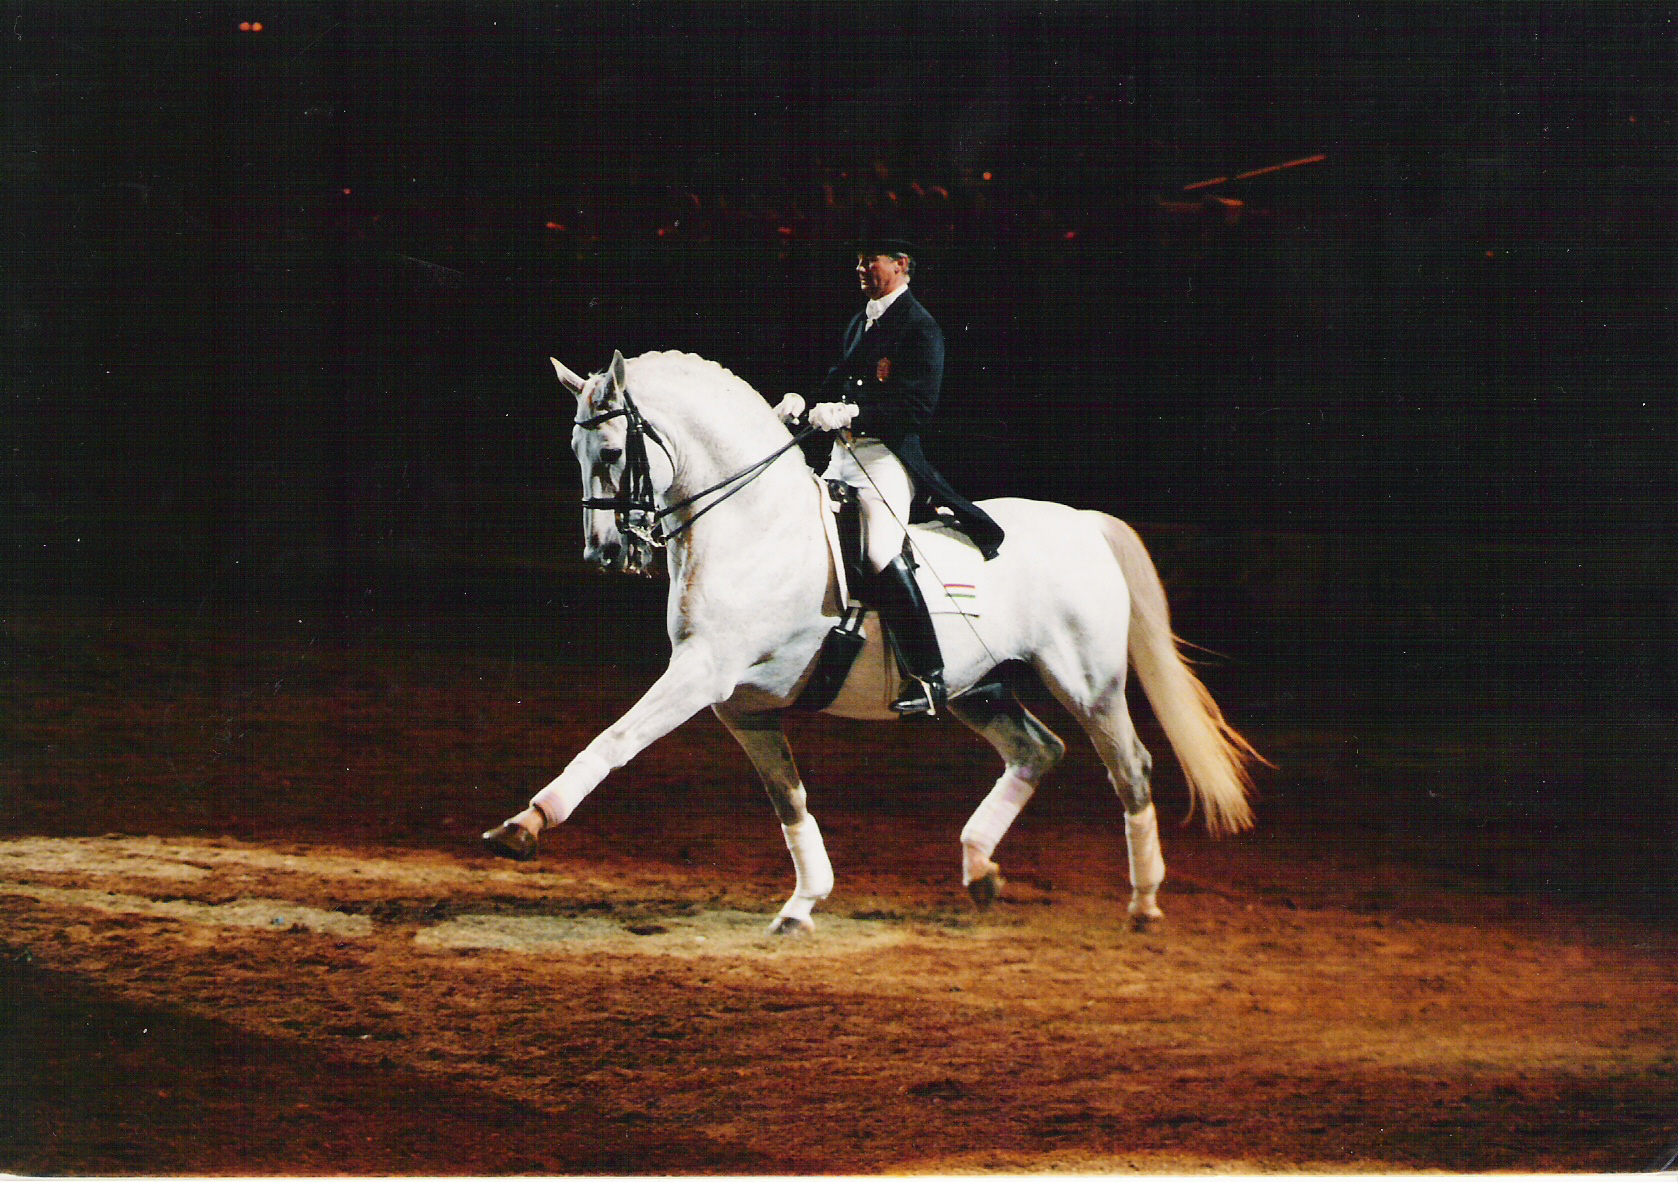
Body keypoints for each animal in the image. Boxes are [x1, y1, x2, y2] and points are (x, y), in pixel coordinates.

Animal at [483, 349, 1265, 934]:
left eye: (615, 449)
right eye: (574, 449)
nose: (605, 553)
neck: (752, 522)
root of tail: (1082, 522)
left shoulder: (704, 673)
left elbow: (616, 738)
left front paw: (526, 823)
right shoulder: (739, 703)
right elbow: (787, 797)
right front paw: (803, 902)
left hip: (1089, 682)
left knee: (1129, 767)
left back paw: (1144, 904)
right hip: (976, 687)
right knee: (1038, 750)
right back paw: (980, 870)